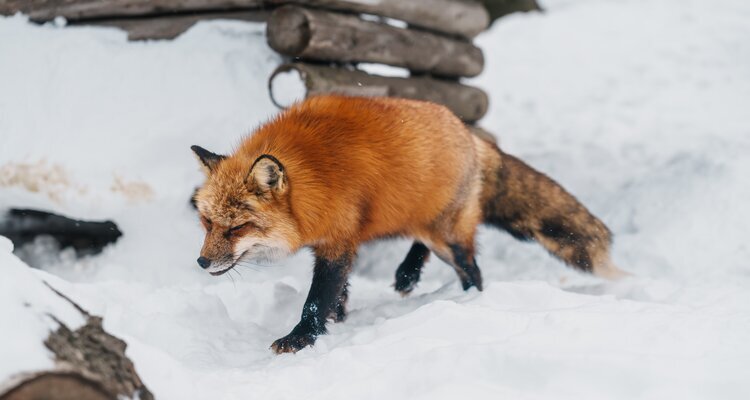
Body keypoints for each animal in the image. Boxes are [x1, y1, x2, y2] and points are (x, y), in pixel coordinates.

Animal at [191, 95, 626, 354]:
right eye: (207, 221)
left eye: (236, 228)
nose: (201, 263)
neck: (315, 176)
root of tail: (469, 133)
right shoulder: (339, 239)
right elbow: (338, 292)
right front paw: (339, 319)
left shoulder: (337, 240)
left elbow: (316, 298)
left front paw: (301, 338)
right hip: (425, 223)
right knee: (422, 244)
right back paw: (407, 274)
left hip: (448, 237)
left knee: (472, 270)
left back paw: (467, 302)